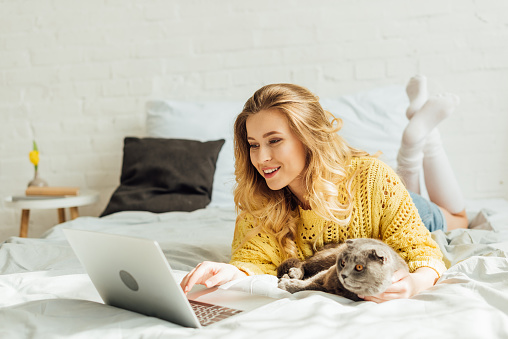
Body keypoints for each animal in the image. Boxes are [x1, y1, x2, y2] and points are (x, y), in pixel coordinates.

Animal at [278, 238, 408, 302]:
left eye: (359, 267)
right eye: (343, 262)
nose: (343, 274)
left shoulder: (328, 288)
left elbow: (310, 286)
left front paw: (287, 284)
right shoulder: (327, 273)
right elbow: (309, 282)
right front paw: (288, 282)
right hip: (326, 258)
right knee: (304, 263)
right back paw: (294, 273)